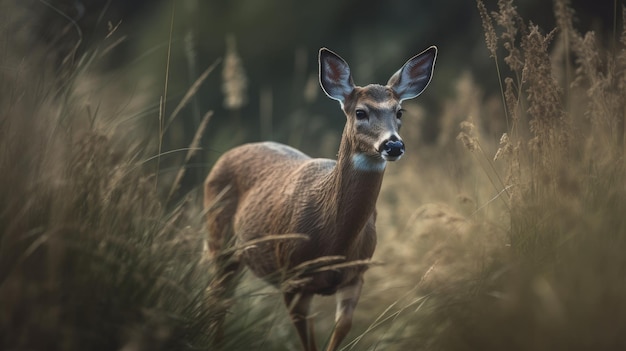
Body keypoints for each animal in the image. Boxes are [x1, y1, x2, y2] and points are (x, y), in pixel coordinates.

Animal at [204, 46, 434, 351]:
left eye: (399, 111)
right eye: (360, 112)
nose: (393, 144)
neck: (333, 241)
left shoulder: (356, 276)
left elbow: (340, 328)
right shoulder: (293, 279)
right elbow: (307, 342)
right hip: (219, 242)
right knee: (216, 299)